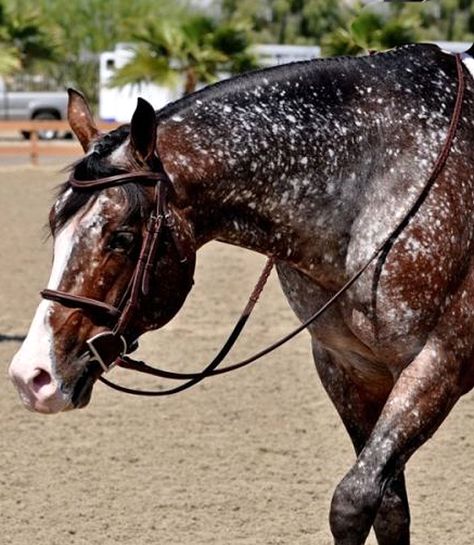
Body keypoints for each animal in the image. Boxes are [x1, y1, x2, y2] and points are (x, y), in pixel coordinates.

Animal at [6, 43, 474, 544]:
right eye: (55, 225)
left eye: (123, 237)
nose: (32, 376)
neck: (381, 177)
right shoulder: (350, 370)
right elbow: (388, 507)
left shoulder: (437, 365)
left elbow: (353, 500)